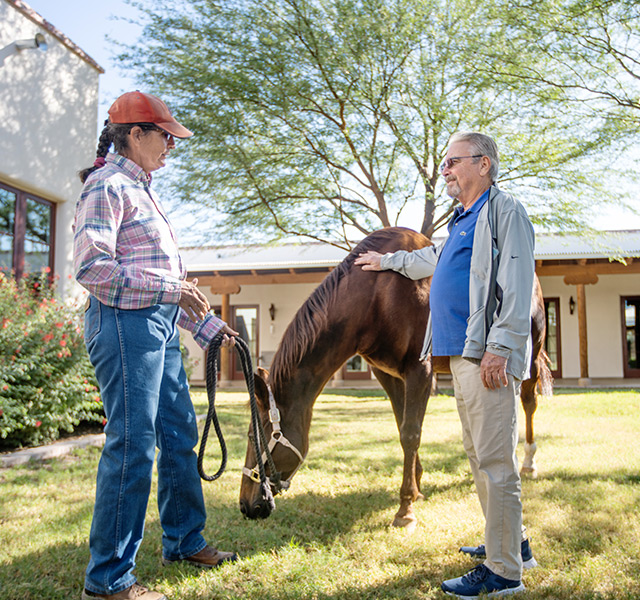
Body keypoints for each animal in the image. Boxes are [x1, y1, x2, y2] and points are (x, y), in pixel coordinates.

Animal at [239, 227, 551, 528]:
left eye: (256, 436)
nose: (246, 505)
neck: (376, 295)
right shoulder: (388, 375)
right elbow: (403, 426)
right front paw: (417, 486)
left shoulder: (419, 372)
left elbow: (410, 433)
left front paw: (406, 508)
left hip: (527, 358)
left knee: (528, 403)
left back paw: (528, 462)